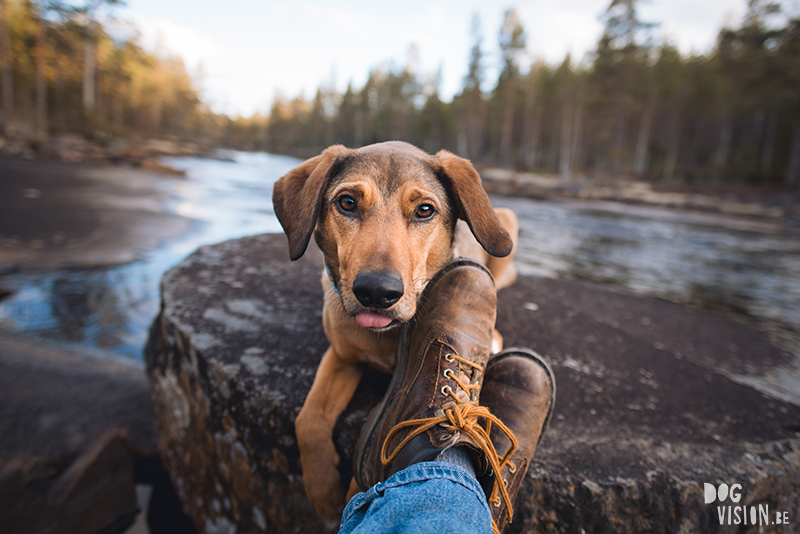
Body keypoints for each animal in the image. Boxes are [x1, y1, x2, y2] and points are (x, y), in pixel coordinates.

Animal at [274, 141, 520, 528]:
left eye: (424, 210)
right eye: (347, 202)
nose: (377, 291)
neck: (388, 336)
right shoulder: (341, 357)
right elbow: (308, 421)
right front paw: (323, 494)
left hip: (507, 222)